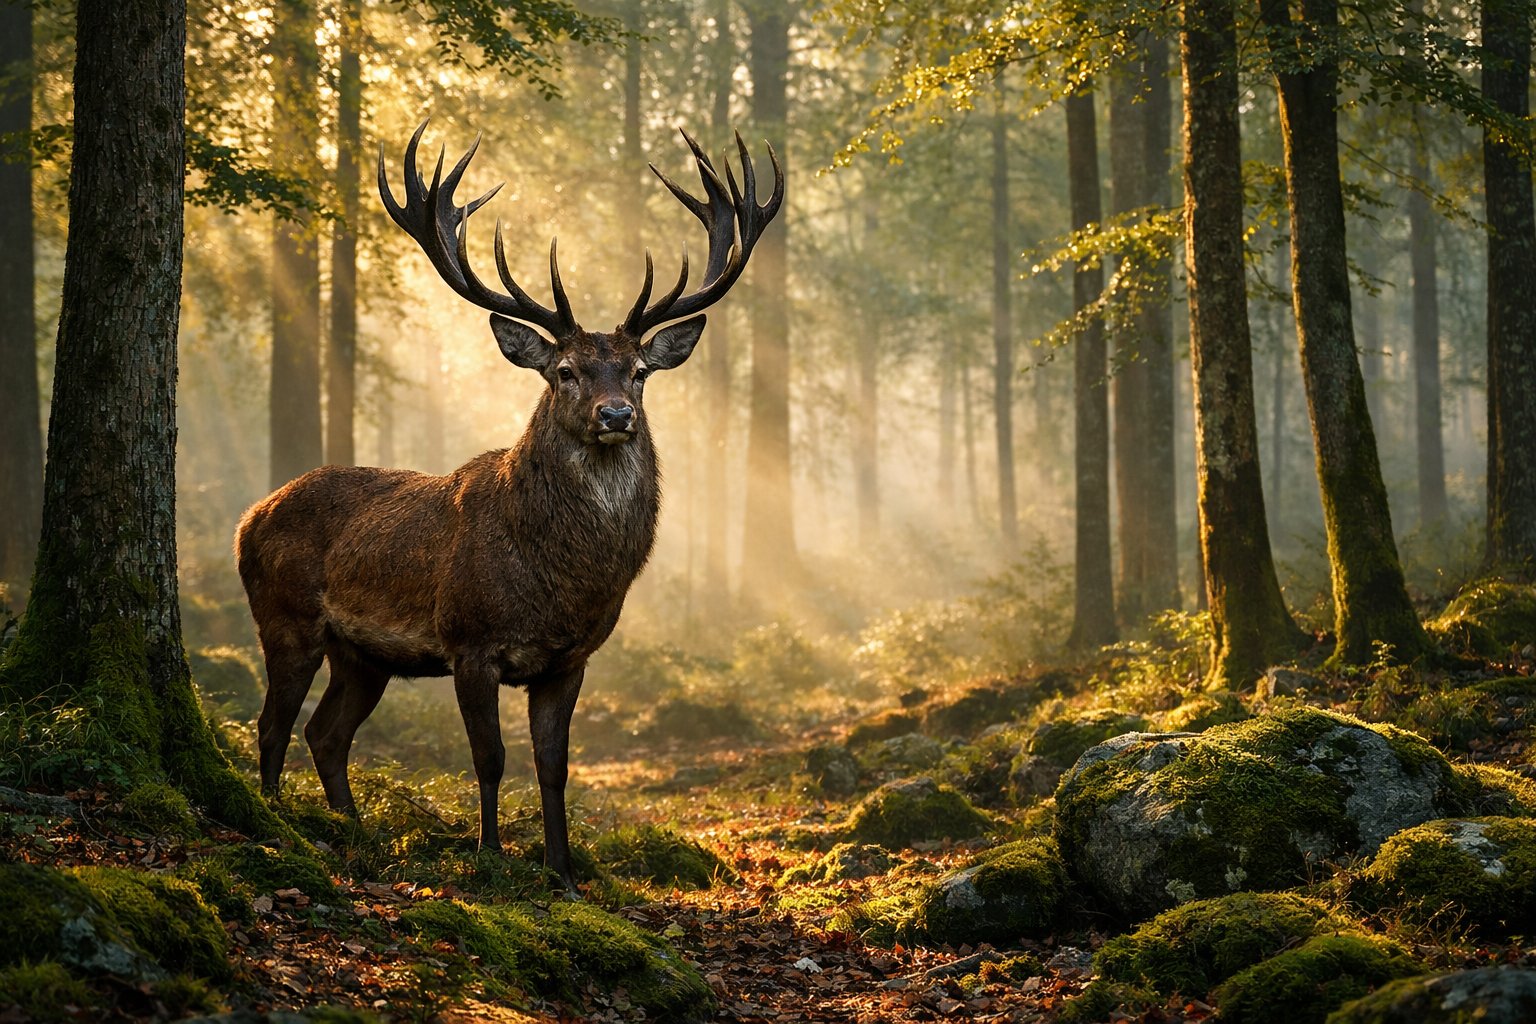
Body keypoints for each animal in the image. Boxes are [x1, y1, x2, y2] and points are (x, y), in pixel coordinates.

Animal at [235, 120, 782, 891]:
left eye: (640, 372)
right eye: (565, 372)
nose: (616, 415)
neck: (558, 583)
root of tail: (250, 516)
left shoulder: (570, 658)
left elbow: (553, 767)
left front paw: (562, 870)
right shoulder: (471, 641)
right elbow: (489, 759)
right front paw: (490, 857)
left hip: (363, 655)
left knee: (326, 732)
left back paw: (354, 831)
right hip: (284, 618)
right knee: (273, 724)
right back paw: (278, 820)